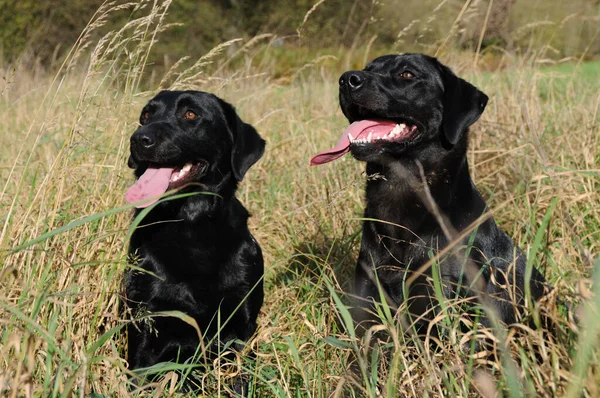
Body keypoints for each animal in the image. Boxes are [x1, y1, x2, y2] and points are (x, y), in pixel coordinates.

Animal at [122, 89, 264, 388]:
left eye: (190, 114)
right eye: (146, 115)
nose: (139, 139)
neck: (189, 226)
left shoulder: (241, 327)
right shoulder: (145, 323)